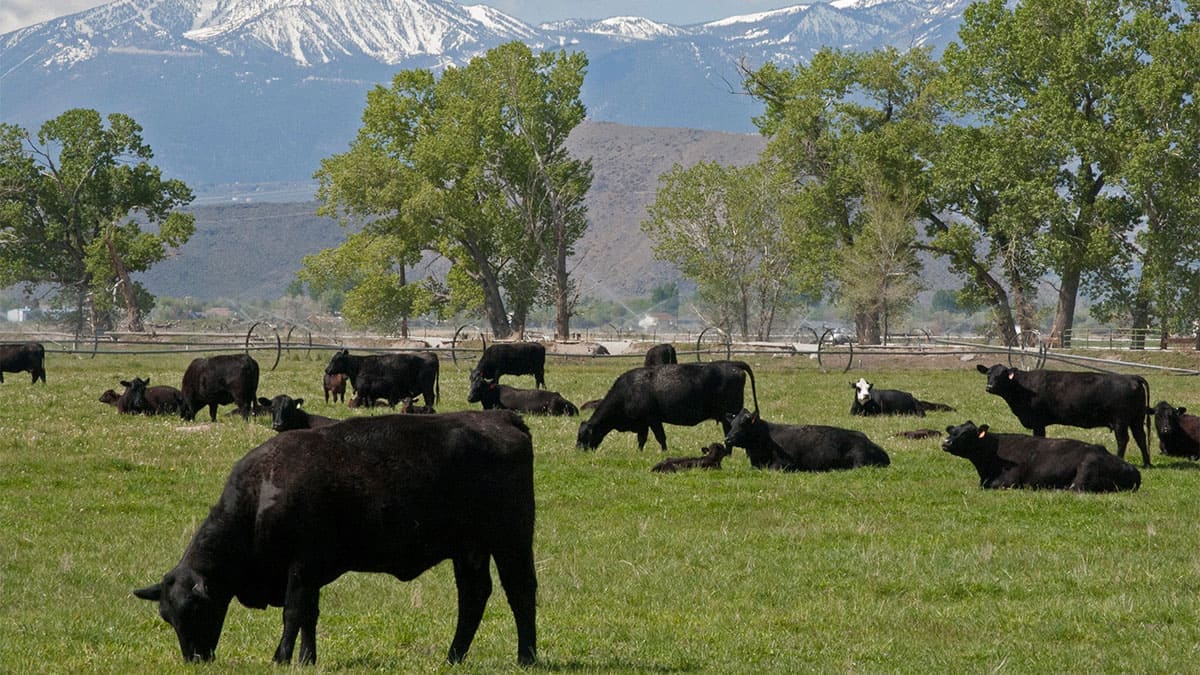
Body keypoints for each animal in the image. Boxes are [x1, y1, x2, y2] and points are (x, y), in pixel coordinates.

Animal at [132, 408, 540, 662]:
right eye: (168, 616)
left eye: (196, 609)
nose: (195, 658)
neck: (261, 492)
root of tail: (502, 417)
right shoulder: (310, 573)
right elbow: (310, 615)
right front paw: (306, 658)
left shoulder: (301, 567)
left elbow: (294, 613)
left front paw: (281, 657)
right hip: (469, 550)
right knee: (473, 597)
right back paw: (453, 656)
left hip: (512, 542)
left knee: (520, 592)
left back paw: (527, 657)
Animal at [573, 360, 758, 449]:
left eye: (584, 436)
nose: (579, 451)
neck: (629, 390)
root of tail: (732, 365)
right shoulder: (644, 424)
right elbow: (642, 440)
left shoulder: (652, 420)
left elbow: (659, 438)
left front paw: (663, 452)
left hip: (730, 415)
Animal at [974, 362, 1152, 468]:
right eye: (988, 374)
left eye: (1002, 375)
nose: (989, 387)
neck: (1022, 387)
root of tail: (1131, 377)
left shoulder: (1038, 422)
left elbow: (1040, 438)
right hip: (1136, 419)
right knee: (1141, 438)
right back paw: (1147, 464)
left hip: (1120, 420)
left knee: (1123, 439)